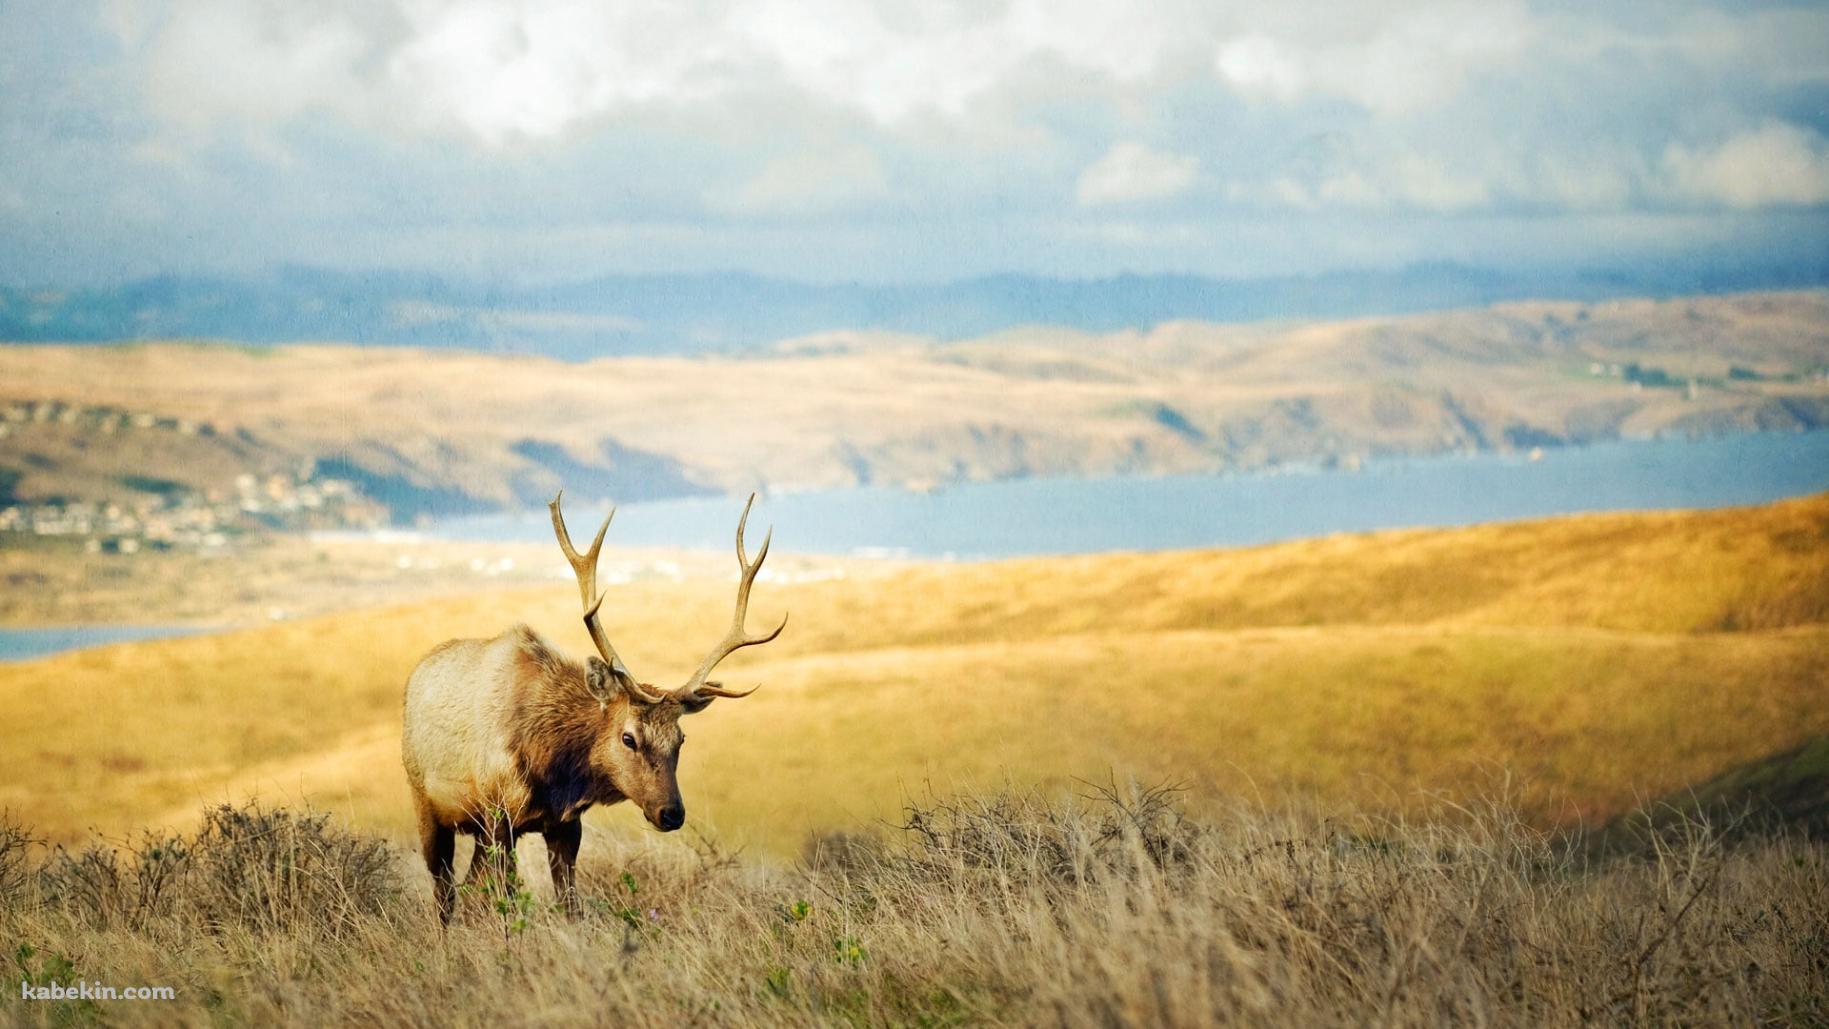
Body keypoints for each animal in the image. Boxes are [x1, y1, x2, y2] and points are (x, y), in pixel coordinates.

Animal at [401, 491, 785, 924]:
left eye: (681, 739)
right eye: (628, 737)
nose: (672, 813)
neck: (552, 766)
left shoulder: (565, 824)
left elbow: (570, 904)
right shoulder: (499, 816)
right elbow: (507, 903)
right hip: (425, 802)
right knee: (444, 892)